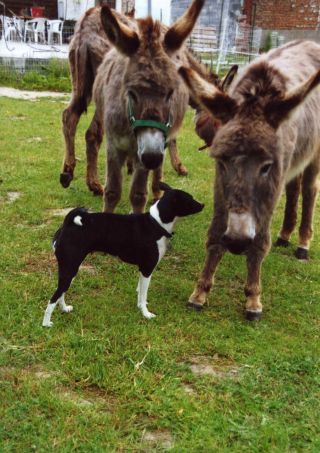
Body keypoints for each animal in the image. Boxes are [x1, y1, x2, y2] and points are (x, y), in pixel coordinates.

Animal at [42, 182, 204, 326]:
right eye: (190, 199)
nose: (203, 204)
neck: (156, 224)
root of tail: (67, 224)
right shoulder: (147, 269)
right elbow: (143, 294)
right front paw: (146, 314)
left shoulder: (143, 270)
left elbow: (140, 293)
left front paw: (140, 307)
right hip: (70, 268)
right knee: (54, 297)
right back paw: (46, 323)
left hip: (70, 269)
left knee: (61, 293)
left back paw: (64, 309)